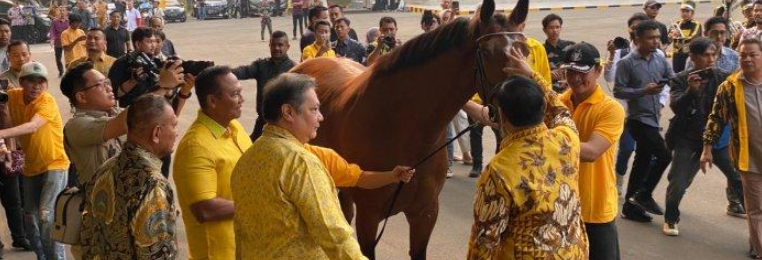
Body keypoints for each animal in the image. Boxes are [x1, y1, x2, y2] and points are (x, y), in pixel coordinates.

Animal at [290, 0, 528, 256]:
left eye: (525, 51)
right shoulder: (369, 217)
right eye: (486, 52)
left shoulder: (425, 214)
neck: (404, 130)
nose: (528, 103)